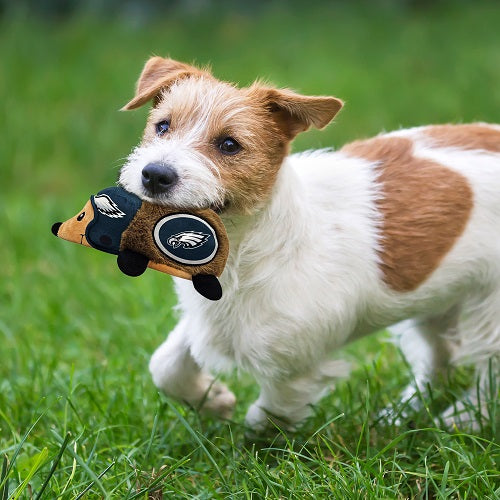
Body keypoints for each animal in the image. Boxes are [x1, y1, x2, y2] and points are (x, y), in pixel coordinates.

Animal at [118, 54, 500, 430]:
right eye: (162, 126)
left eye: (229, 144)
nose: (154, 175)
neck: (243, 247)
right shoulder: (207, 320)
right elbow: (165, 365)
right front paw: (213, 400)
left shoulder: (295, 367)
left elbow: (267, 417)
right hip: (436, 300)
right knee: (440, 357)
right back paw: (401, 415)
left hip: (489, 309)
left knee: (488, 370)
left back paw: (466, 418)